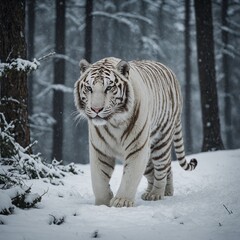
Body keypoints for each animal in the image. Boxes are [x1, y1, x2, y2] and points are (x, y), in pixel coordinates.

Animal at [73, 57, 197, 207]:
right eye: (89, 88)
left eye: (109, 88)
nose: (96, 109)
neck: (115, 122)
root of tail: (169, 70)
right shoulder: (100, 149)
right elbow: (99, 179)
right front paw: (103, 203)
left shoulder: (137, 147)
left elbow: (130, 176)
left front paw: (122, 201)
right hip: (149, 154)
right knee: (158, 170)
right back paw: (158, 192)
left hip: (161, 140)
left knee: (161, 168)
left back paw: (156, 194)